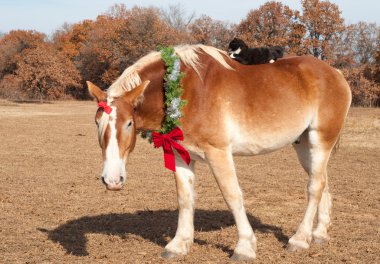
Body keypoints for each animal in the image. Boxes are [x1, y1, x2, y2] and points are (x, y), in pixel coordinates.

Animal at [86, 44, 350, 260]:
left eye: (129, 123)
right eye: (97, 122)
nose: (112, 180)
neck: (185, 89)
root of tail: (335, 73)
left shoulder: (218, 153)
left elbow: (232, 196)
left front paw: (244, 247)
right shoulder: (181, 155)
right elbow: (185, 199)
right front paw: (179, 244)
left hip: (320, 140)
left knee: (314, 186)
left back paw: (300, 239)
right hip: (304, 145)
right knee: (322, 182)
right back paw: (319, 234)